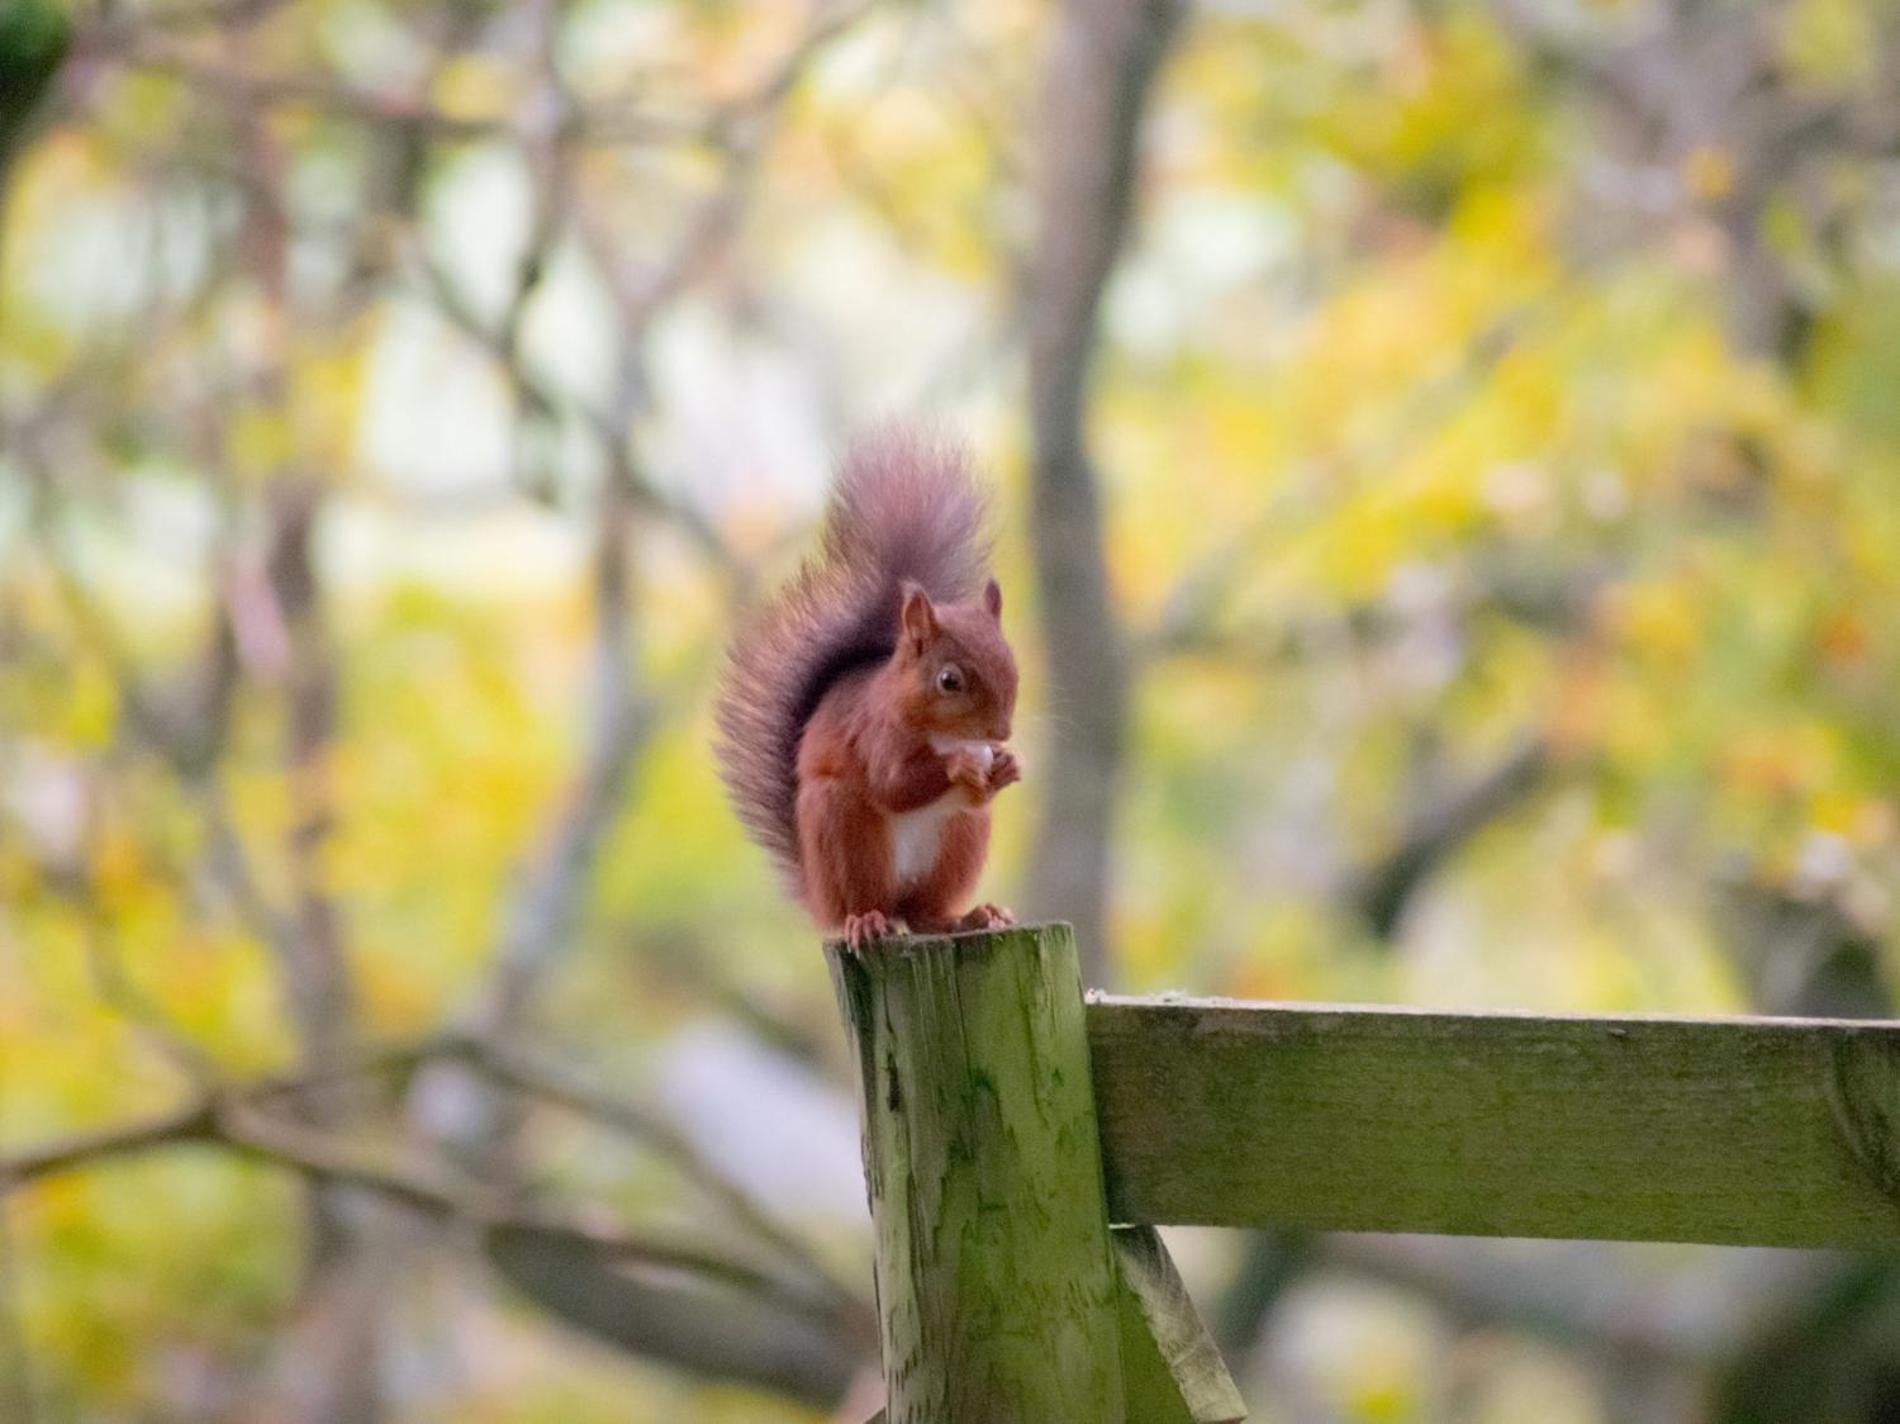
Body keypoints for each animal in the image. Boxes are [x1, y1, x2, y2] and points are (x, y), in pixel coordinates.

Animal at [714, 429, 1018, 942]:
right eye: (949, 680)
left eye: (1013, 664)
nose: (1001, 733)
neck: (939, 731)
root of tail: (818, 899)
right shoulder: (876, 734)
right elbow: (892, 785)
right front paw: (959, 765)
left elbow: (977, 792)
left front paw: (1007, 766)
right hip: (843, 830)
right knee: (863, 903)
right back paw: (866, 921)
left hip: (962, 837)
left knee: (923, 914)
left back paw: (968, 916)